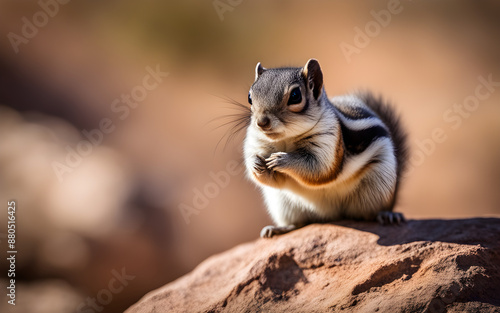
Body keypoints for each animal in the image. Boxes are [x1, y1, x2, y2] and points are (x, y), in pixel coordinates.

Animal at [243, 59, 410, 238]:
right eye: (250, 97)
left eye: (295, 96)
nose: (262, 122)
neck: (286, 139)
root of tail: (329, 215)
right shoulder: (256, 141)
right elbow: (270, 178)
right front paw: (254, 163)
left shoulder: (329, 140)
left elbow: (320, 169)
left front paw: (282, 159)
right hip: (283, 203)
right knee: (299, 223)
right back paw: (279, 229)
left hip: (378, 188)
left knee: (371, 214)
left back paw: (387, 215)